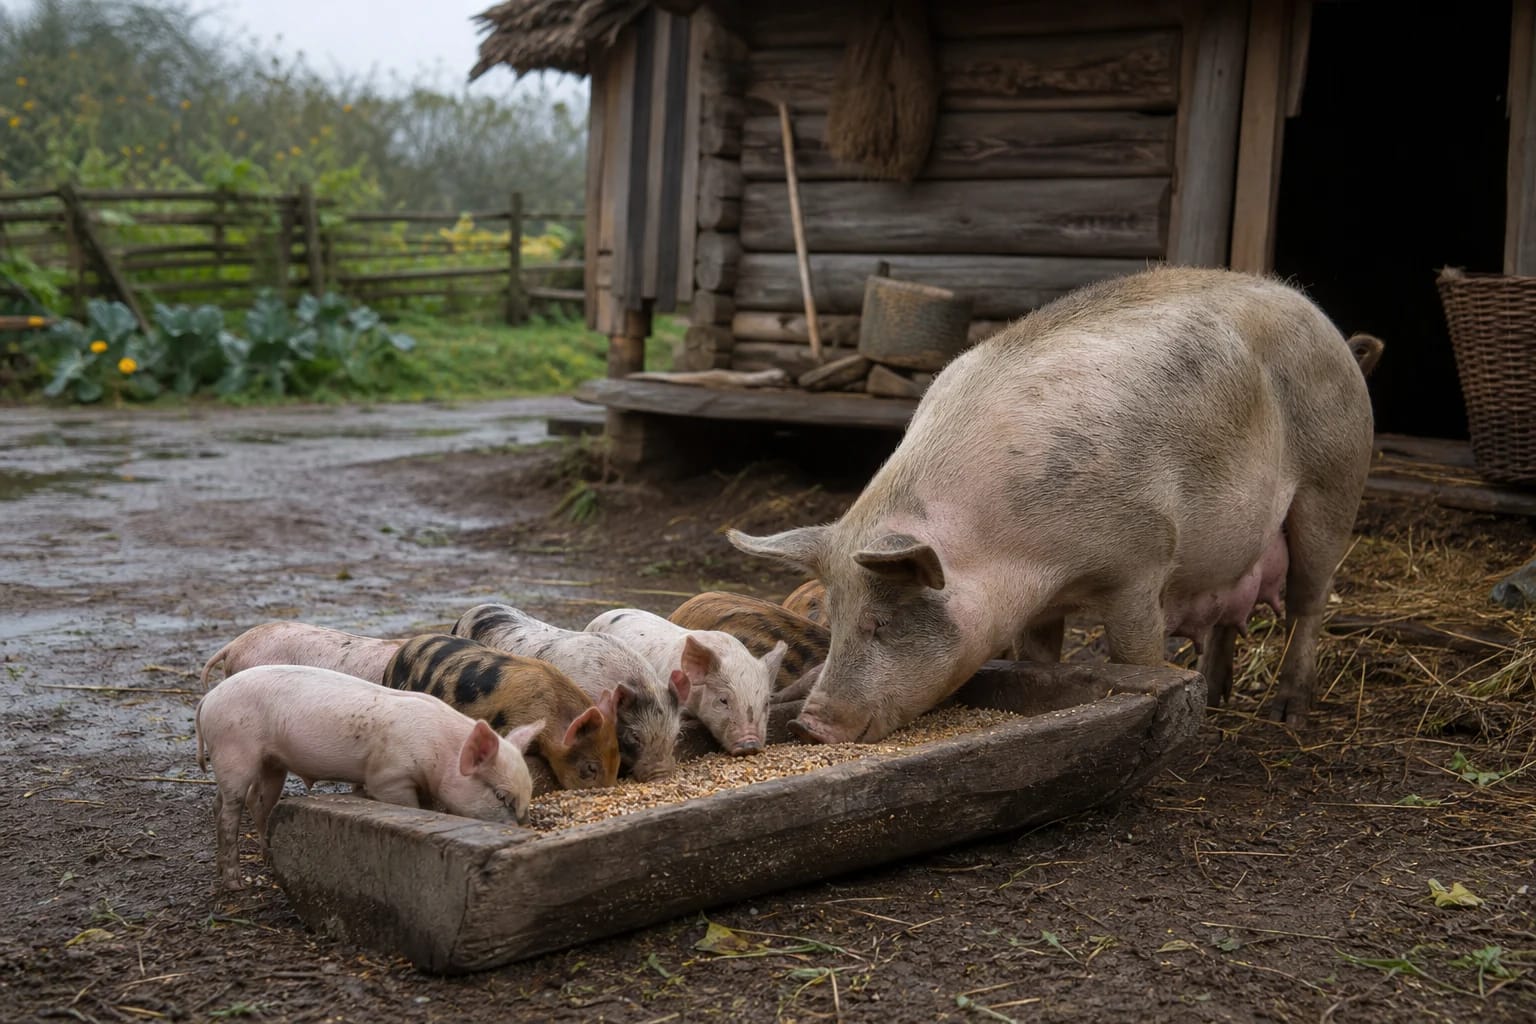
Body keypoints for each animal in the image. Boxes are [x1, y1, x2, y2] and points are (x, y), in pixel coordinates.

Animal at [195, 664, 540, 890]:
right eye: (500, 795)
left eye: (526, 798)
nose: (522, 831)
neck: (440, 751)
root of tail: (207, 700)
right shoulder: (389, 777)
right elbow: (409, 807)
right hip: (234, 750)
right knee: (230, 811)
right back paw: (235, 883)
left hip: (271, 762)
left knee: (246, 802)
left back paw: (265, 859)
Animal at [729, 266, 1375, 740]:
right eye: (832, 620)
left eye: (881, 622)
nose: (811, 725)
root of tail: (1329, 327)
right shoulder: (1039, 607)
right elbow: (1037, 663)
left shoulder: (1141, 565)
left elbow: (1136, 652)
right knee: (1228, 615)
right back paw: (1213, 697)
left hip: (1333, 486)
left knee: (1309, 602)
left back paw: (1286, 714)